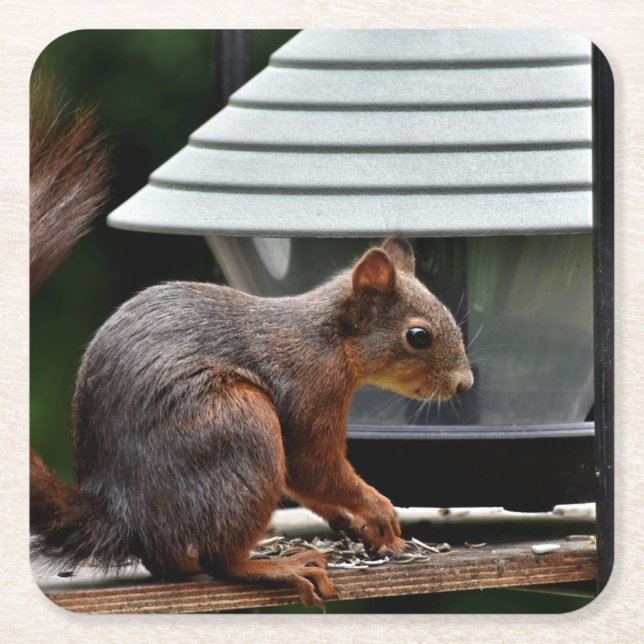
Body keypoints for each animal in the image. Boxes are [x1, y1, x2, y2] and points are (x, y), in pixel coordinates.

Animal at [30, 87, 474, 611]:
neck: (330, 340)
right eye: (418, 335)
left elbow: (306, 484)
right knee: (223, 561)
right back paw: (280, 566)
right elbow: (312, 466)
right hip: (240, 426)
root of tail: (126, 516)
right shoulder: (308, 389)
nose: (464, 383)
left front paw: (354, 523)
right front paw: (378, 509)